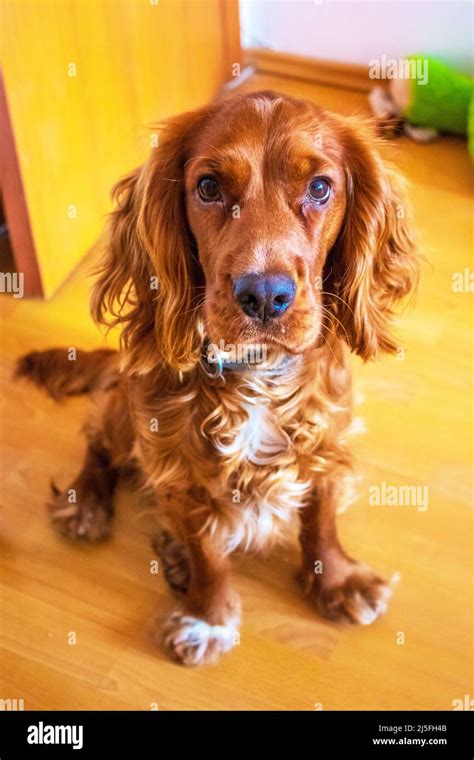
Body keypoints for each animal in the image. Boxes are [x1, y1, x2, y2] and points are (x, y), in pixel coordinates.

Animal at [17, 92, 418, 664]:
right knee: (97, 440)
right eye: (208, 186)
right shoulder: (180, 470)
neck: (257, 373)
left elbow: (320, 521)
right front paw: (208, 618)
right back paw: (88, 503)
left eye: (320, 188)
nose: (265, 295)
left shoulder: (324, 439)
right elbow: (208, 555)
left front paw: (337, 580)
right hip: (125, 410)